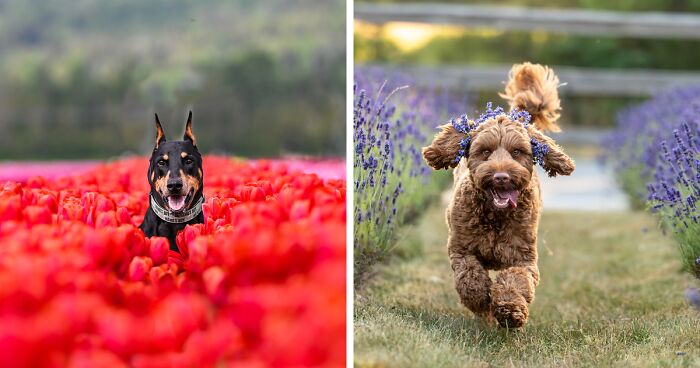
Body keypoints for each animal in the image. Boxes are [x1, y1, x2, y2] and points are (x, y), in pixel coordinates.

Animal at [422, 62, 576, 328]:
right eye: (485, 151)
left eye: (517, 152)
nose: (501, 176)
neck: (495, 216)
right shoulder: (461, 250)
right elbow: (470, 276)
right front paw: (481, 299)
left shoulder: (523, 259)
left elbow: (516, 279)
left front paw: (509, 310)